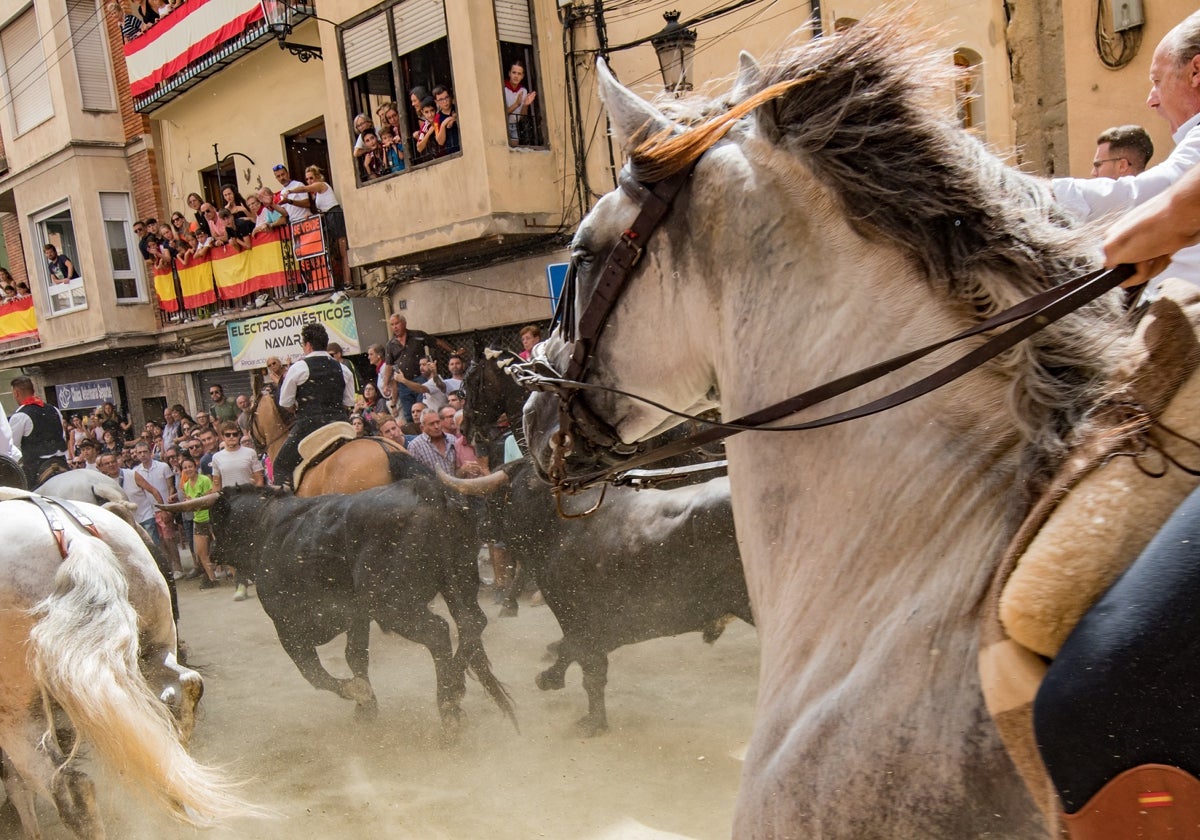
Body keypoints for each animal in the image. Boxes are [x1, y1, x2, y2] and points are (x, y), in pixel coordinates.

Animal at [170, 475, 516, 739]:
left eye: (215, 520)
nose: (213, 552)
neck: (268, 526)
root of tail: (428, 492)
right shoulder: (357, 616)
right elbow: (355, 657)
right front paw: (367, 708)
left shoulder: (286, 626)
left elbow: (313, 672)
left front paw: (359, 694)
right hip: (460, 583)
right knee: (473, 623)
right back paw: (459, 692)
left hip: (393, 604)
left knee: (439, 632)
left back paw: (448, 705)